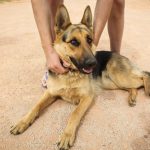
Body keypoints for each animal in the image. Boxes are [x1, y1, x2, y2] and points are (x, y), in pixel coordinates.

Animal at [10, 4, 150, 149]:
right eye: (74, 42)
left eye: (89, 40)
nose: (94, 63)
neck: (70, 73)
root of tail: (117, 54)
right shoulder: (50, 93)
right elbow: (35, 106)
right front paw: (22, 122)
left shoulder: (87, 97)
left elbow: (74, 114)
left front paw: (67, 136)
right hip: (114, 83)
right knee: (135, 85)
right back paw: (132, 97)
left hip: (119, 77)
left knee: (144, 75)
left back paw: (147, 90)